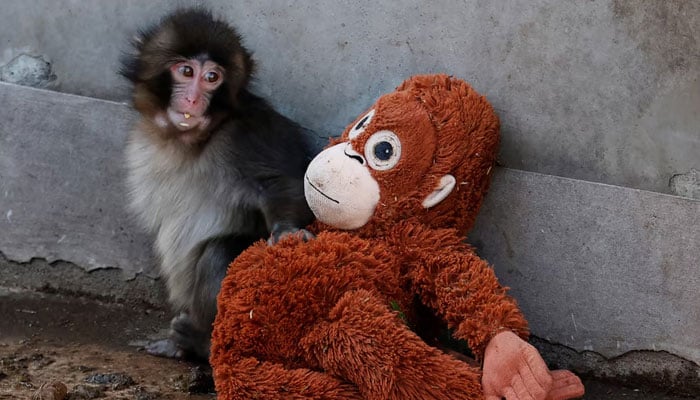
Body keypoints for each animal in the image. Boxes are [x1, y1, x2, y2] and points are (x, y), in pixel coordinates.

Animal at [120, 8, 315, 361]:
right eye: (186, 71)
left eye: (212, 77)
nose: (194, 98)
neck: (191, 140)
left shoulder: (246, 134)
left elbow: (283, 183)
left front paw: (287, 231)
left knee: (219, 252)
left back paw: (198, 341)